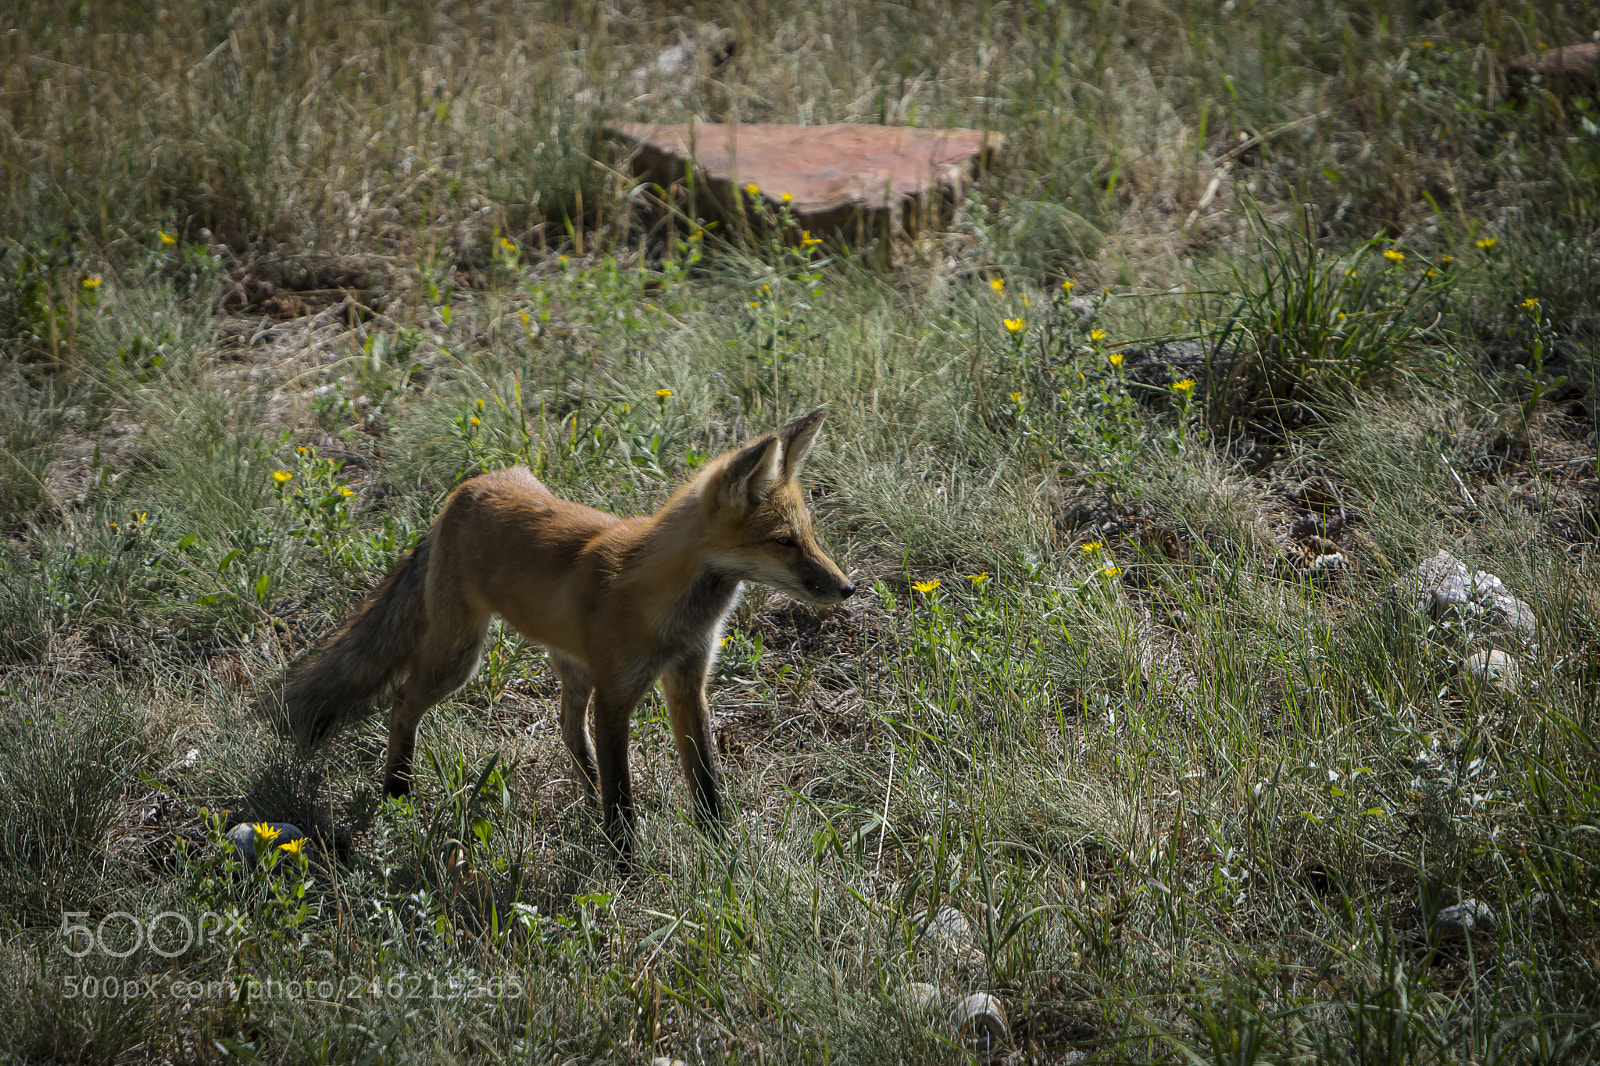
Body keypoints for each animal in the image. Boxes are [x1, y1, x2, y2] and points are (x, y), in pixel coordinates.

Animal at [270, 408, 854, 853]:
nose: (847, 588)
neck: (671, 609)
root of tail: (471, 486)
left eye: (808, 535)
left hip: (570, 666)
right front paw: (626, 865)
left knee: (569, 731)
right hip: (459, 658)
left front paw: (722, 853)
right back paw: (396, 789)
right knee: (402, 700)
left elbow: (705, 784)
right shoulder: (617, 695)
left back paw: (585, 794)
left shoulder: (687, 684)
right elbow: (623, 797)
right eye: (783, 542)